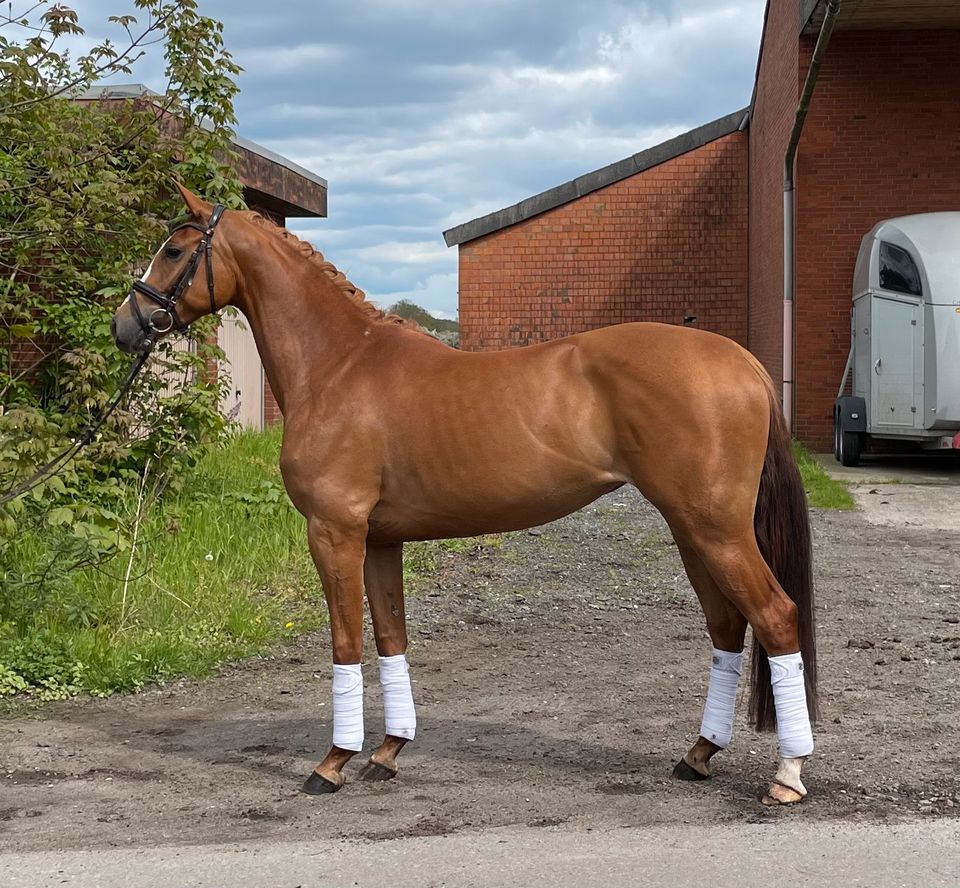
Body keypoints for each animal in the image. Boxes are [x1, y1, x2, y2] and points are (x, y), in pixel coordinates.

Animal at [112, 186, 816, 804]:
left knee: (776, 616)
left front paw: (333, 763)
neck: (339, 366)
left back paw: (786, 776)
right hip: (690, 529)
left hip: (716, 530)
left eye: (174, 250)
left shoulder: (335, 532)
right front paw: (388, 752)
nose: (126, 326)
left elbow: (345, 643)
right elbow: (391, 637)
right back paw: (698, 755)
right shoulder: (380, 540)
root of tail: (742, 361)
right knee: (727, 626)